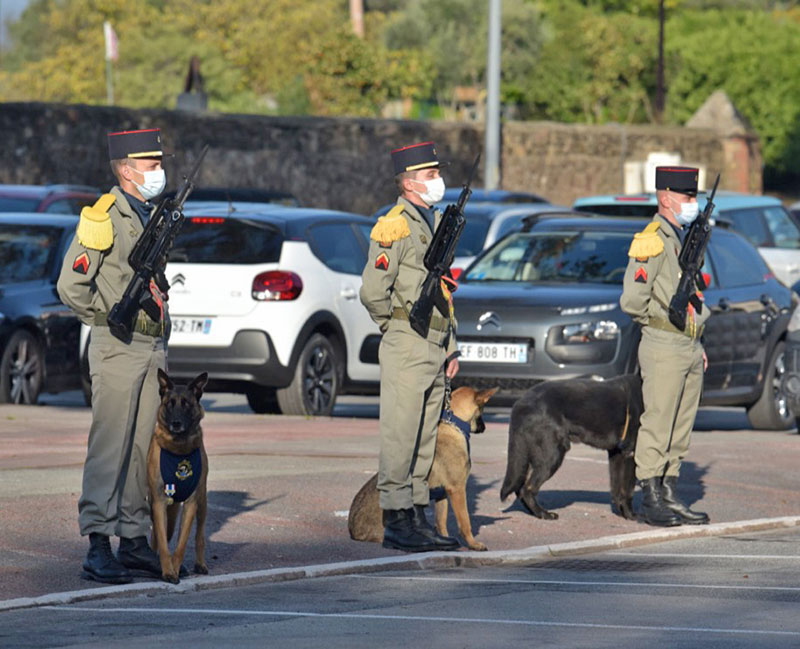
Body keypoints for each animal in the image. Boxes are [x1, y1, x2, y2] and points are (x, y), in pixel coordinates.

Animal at [148, 370, 208, 584]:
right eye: (169, 404)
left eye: (186, 404)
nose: (176, 424)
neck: (178, 448)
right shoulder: (158, 502)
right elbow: (162, 541)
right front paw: (167, 571)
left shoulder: (191, 504)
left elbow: (181, 544)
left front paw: (175, 567)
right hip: (167, 510)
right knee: (160, 536)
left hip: (202, 503)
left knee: (199, 536)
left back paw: (200, 563)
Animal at [348, 388, 496, 548]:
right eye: (482, 410)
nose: (484, 428)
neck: (453, 425)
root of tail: (353, 531)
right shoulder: (457, 490)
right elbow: (465, 521)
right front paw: (473, 544)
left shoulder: (443, 494)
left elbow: (441, 522)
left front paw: (445, 539)